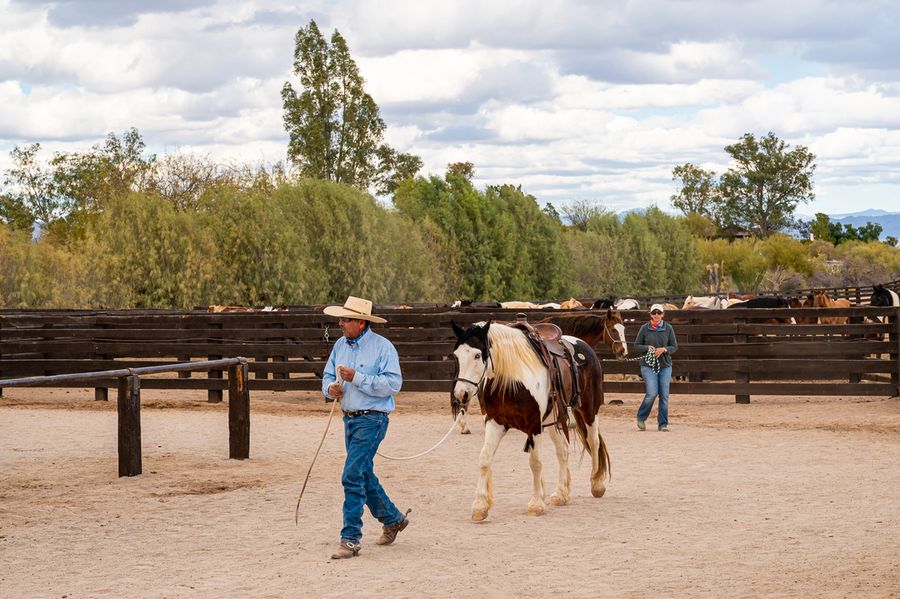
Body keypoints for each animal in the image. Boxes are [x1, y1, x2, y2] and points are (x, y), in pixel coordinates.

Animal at [450, 322, 612, 524]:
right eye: (456, 356)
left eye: (477, 355)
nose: (460, 394)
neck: (512, 380)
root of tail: (583, 345)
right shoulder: (495, 422)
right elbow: (484, 459)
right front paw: (480, 506)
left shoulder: (534, 425)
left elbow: (535, 463)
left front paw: (536, 505)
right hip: (553, 420)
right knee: (563, 450)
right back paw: (561, 493)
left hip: (589, 410)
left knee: (593, 441)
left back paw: (596, 483)